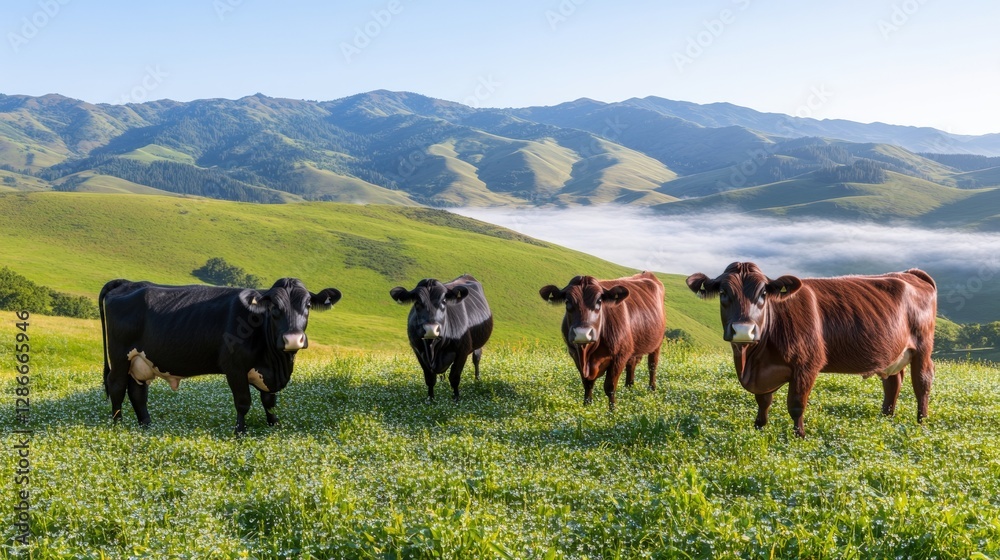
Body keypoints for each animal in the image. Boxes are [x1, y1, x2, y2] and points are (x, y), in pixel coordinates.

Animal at [99, 278, 341, 434]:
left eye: (308, 304)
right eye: (273, 306)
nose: (293, 339)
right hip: (120, 357)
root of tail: (128, 283)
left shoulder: (267, 373)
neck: (276, 364)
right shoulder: (234, 367)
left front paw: (275, 426)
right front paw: (240, 433)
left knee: (138, 392)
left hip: (140, 361)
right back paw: (117, 426)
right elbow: (243, 402)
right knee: (117, 386)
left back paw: (147, 426)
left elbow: (269, 401)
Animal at [539, 271, 666, 411]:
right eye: (567, 302)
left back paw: (652, 389)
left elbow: (610, 387)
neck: (588, 354)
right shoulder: (575, 355)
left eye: (599, 301)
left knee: (652, 365)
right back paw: (629, 388)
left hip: (657, 343)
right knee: (631, 365)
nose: (582, 333)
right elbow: (587, 383)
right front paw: (587, 406)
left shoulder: (619, 356)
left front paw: (612, 411)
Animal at [686, 262, 936, 437]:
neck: (753, 361)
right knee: (893, 382)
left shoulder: (806, 365)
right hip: (893, 353)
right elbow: (763, 400)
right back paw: (886, 417)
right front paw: (759, 427)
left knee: (922, 381)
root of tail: (910, 273)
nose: (742, 330)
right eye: (723, 293)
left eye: (763, 294)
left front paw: (800, 436)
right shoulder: (764, 373)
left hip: (923, 346)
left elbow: (796, 404)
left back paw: (921, 422)